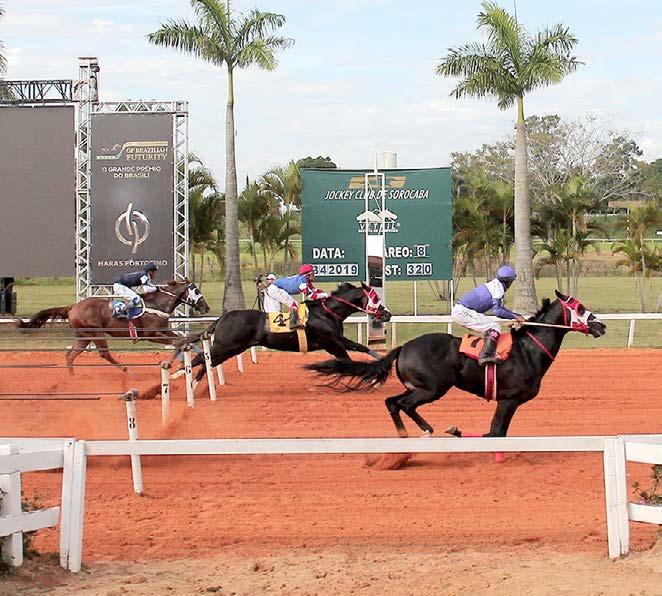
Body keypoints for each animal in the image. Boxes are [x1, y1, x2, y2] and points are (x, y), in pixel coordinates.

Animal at [16, 280, 210, 372]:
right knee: (104, 354)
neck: (157, 304)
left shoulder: (164, 330)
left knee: (70, 354)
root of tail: (73, 306)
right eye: (196, 291)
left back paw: (72, 377)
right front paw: (172, 363)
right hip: (95, 333)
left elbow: (183, 339)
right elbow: (178, 342)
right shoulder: (151, 334)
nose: (206, 307)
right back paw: (125, 369)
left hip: (83, 336)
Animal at [183, 280, 390, 384]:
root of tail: (222, 318)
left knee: (207, 361)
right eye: (376, 298)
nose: (387, 314)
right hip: (226, 345)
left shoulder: (338, 338)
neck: (326, 312)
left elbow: (361, 347)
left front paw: (379, 358)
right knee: (201, 357)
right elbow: (347, 360)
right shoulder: (331, 343)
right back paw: (188, 381)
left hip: (234, 348)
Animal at [306, 292, 608, 438]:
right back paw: (428, 430)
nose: (601, 325)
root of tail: (404, 347)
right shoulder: (508, 400)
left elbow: (497, 432)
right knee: (403, 404)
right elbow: (495, 433)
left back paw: (410, 434)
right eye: (581, 309)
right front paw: (460, 431)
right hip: (433, 388)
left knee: (393, 403)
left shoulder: (510, 402)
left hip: (419, 386)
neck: (528, 349)